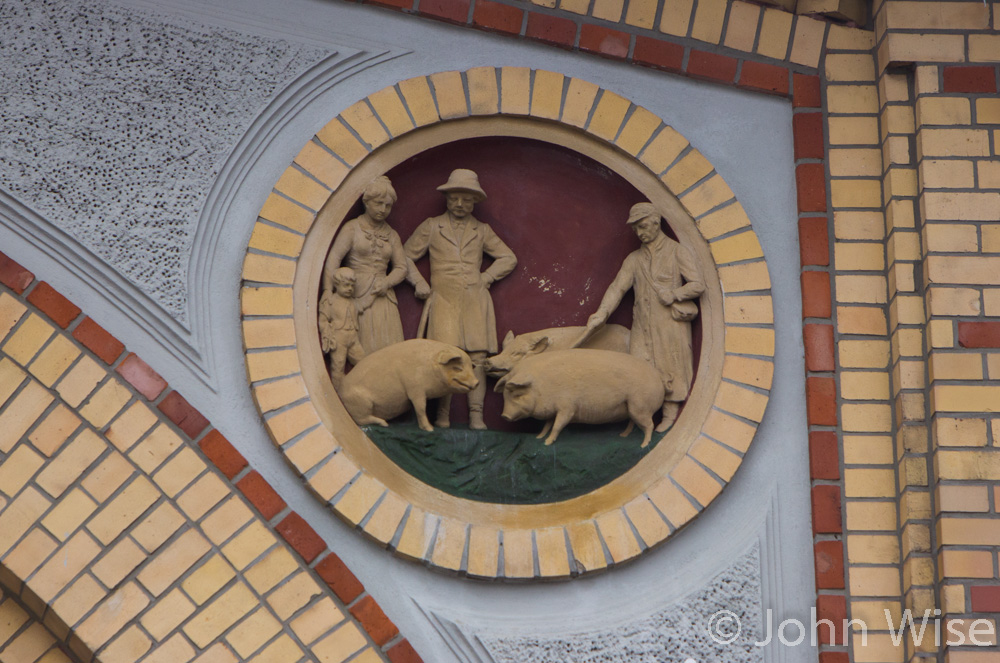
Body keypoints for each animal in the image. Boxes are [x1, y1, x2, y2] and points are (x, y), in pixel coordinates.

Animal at [338, 340, 478, 434]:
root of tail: (341, 391)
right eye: (457, 368)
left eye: (471, 368)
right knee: (361, 419)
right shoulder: (415, 389)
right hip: (361, 402)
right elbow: (421, 408)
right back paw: (384, 424)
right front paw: (430, 429)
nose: (477, 382)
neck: (429, 368)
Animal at [498, 350, 668, 448]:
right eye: (504, 396)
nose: (504, 416)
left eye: (517, 395)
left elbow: (557, 426)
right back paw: (623, 435)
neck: (542, 386)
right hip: (632, 408)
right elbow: (547, 424)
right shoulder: (553, 410)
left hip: (640, 406)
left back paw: (643, 445)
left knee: (650, 425)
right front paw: (539, 437)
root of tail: (658, 377)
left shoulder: (567, 407)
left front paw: (547, 443)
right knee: (633, 422)